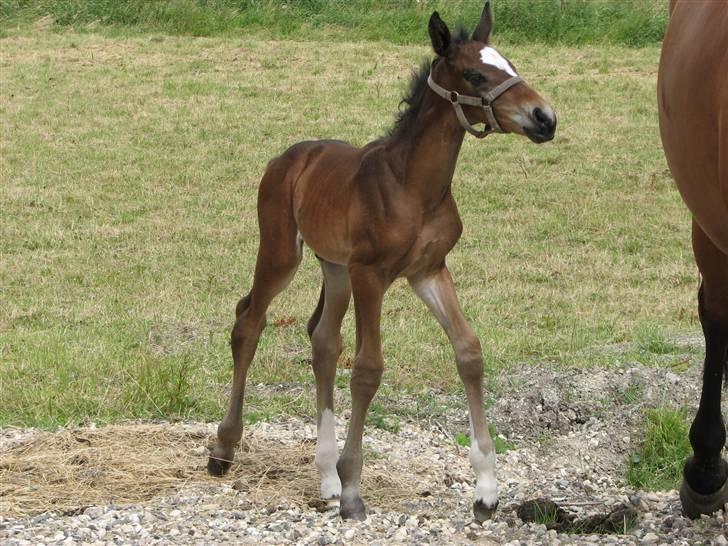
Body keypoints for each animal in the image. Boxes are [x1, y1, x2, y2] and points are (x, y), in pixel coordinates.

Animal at [210, 2, 556, 520]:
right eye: (475, 75)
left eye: (510, 64)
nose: (545, 118)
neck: (413, 185)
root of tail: (288, 158)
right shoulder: (371, 274)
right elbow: (368, 367)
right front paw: (355, 489)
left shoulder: (429, 271)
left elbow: (469, 352)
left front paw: (486, 489)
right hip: (282, 251)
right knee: (249, 320)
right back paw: (226, 448)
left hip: (334, 267)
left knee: (323, 339)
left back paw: (326, 478)